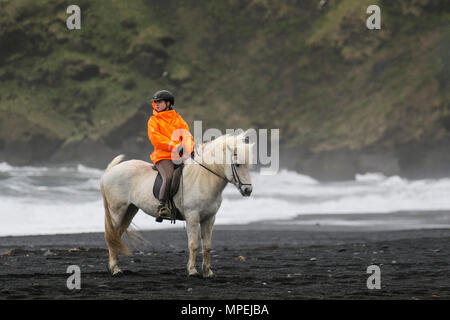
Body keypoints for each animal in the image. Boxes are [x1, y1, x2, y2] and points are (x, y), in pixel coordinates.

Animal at [101, 131, 253, 276]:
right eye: (237, 164)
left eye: (249, 165)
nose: (248, 190)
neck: (202, 179)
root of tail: (111, 171)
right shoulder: (192, 217)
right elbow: (193, 244)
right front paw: (192, 271)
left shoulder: (209, 218)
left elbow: (207, 246)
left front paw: (207, 272)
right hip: (117, 211)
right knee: (111, 237)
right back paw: (115, 269)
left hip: (130, 210)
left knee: (116, 237)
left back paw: (115, 266)